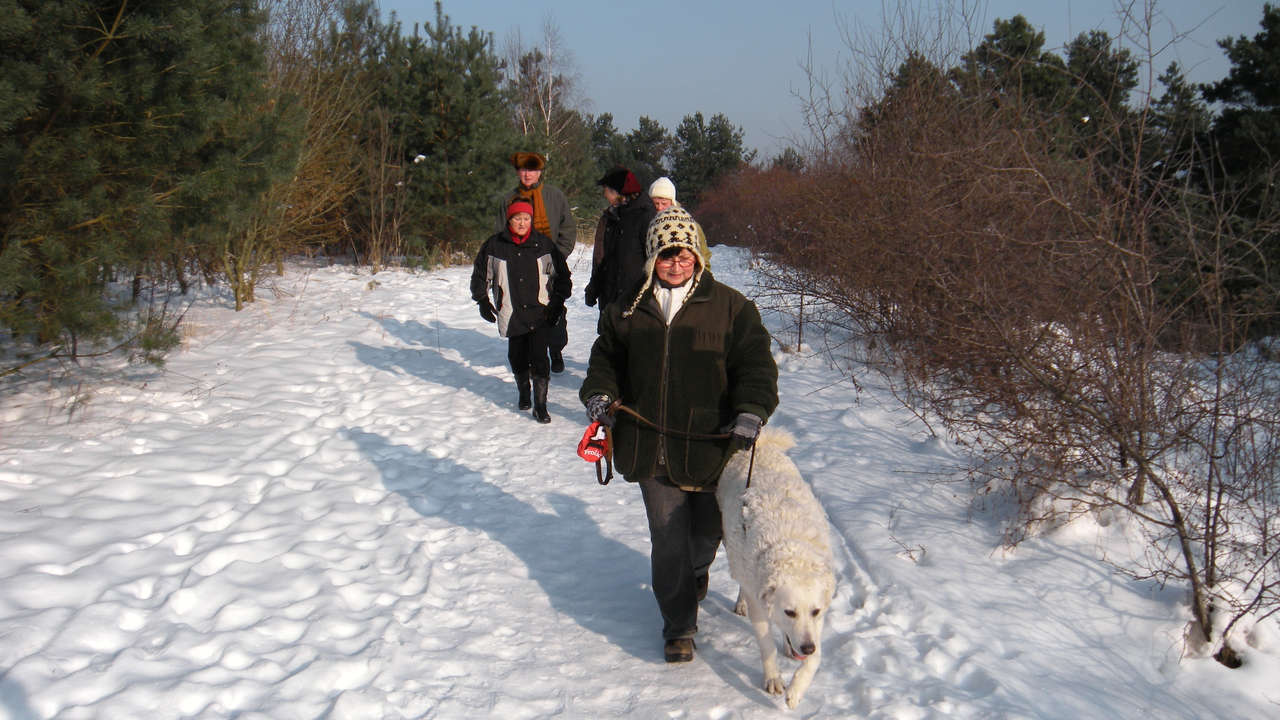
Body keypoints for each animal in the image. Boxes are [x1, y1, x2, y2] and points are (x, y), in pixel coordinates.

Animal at [716, 425, 834, 707]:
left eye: (815, 611)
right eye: (790, 612)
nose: (806, 647)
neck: (789, 544)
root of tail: (761, 445)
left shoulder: (818, 619)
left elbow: (816, 658)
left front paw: (797, 689)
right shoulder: (759, 602)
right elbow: (766, 643)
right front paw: (773, 679)